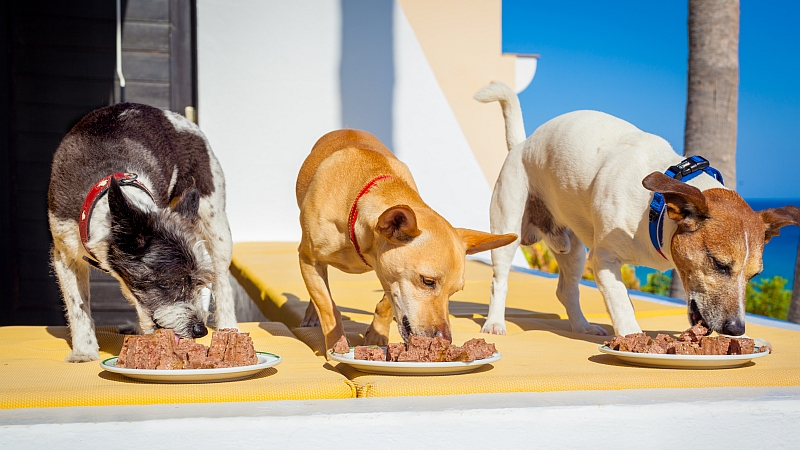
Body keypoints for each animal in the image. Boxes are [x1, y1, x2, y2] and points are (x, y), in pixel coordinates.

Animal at [48, 103, 236, 362]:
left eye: (195, 281)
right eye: (171, 283)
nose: (200, 330)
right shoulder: (64, 251)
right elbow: (78, 305)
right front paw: (84, 351)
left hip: (214, 217)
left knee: (223, 278)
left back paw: (229, 327)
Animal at [296, 128, 516, 354]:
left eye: (454, 292)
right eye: (427, 281)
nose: (445, 340)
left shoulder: (389, 274)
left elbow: (386, 304)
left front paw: (377, 336)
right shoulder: (308, 259)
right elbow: (328, 308)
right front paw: (336, 345)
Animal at [478, 83, 796, 338]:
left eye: (755, 275)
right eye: (719, 265)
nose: (736, 329)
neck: (656, 208)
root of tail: (522, 145)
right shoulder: (603, 260)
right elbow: (622, 303)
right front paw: (633, 340)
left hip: (574, 252)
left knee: (566, 290)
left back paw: (582, 327)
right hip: (508, 231)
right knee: (499, 282)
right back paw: (495, 323)